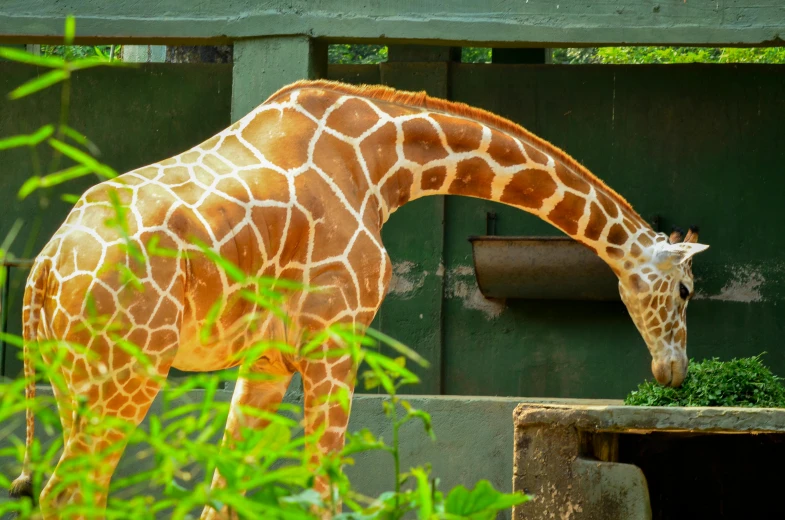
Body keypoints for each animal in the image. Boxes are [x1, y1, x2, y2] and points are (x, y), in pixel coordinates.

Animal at [6, 79, 708, 516]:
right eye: (686, 289)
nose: (673, 372)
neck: (383, 162)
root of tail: (43, 269)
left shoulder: (266, 362)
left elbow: (225, 495)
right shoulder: (334, 339)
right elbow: (325, 492)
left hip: (76, 383)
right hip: (127, 374)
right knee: (66, 496)